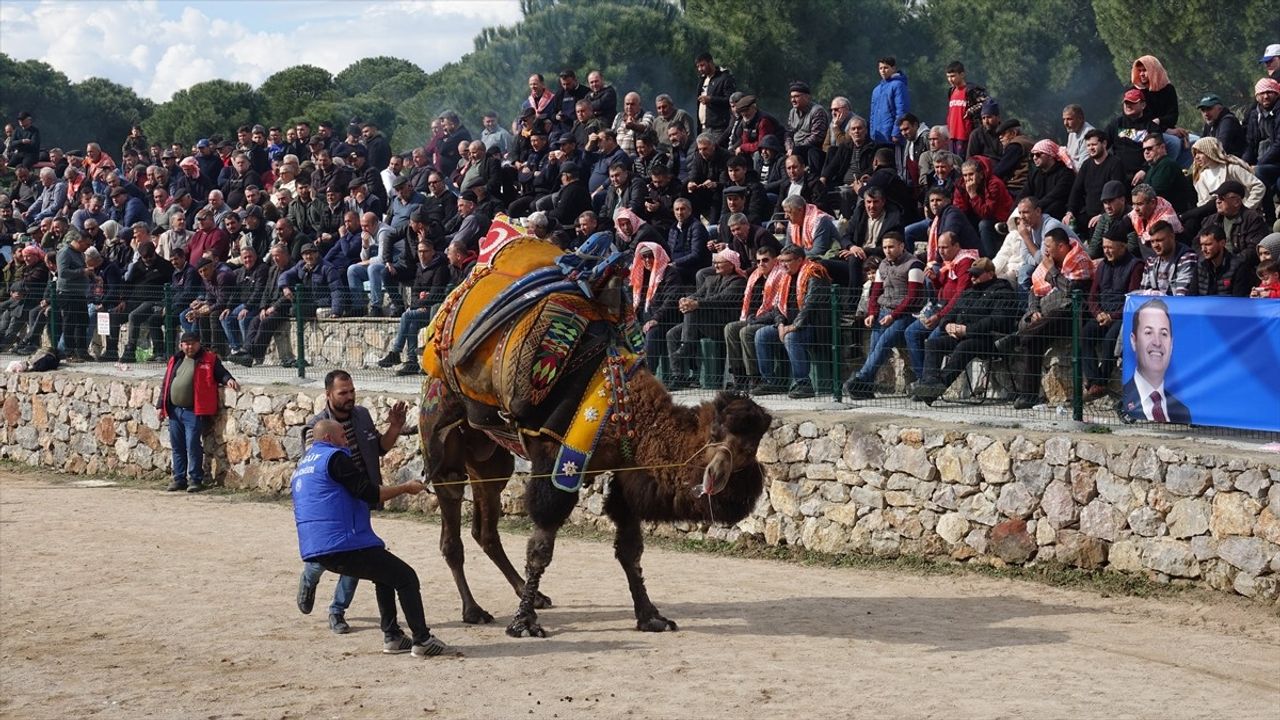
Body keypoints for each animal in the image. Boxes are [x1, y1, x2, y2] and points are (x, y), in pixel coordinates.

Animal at [417, 228, 768, 632]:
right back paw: (474, 609)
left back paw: (530, 595)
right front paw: (524, 622)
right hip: (442, 440)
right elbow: (541, 547)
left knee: (485, 529)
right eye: (743, 449)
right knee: (452, 529)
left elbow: (630, 551)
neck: (622, 406)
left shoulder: (624, 469)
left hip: (491, 458)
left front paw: (650, 615)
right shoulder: (556, 463)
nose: (751, 490)